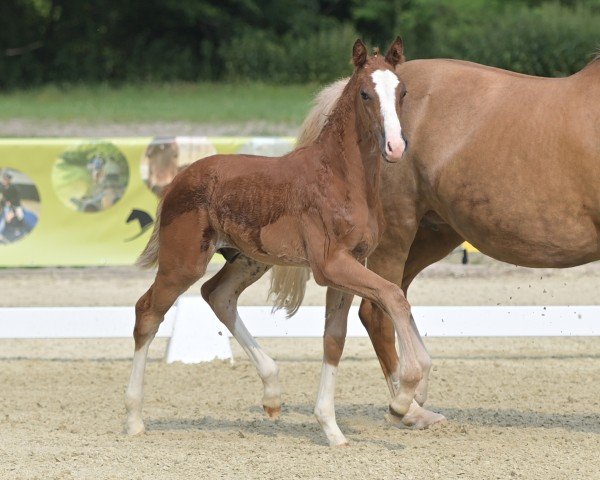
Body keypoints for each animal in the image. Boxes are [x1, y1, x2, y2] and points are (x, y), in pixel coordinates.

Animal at [126, 37, 420, 446]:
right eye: (365, 93)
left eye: (402, 92)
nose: (395, 146)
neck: (340, 177)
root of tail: (177, 181)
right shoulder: (330, 266)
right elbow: (394, 296)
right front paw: (402, 400)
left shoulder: (348, 265)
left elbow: (334, 339)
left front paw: (332, 429)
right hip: (183, 262)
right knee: (148, 312)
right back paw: (134, 419)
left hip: (250, 259)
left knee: (217, 295)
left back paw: (272, 394)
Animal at [270, 53, 600, 428]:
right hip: (397, 234)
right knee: (377, 311)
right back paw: (406, 405)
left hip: (433, 235)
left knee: (396, 298)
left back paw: (416, 390)